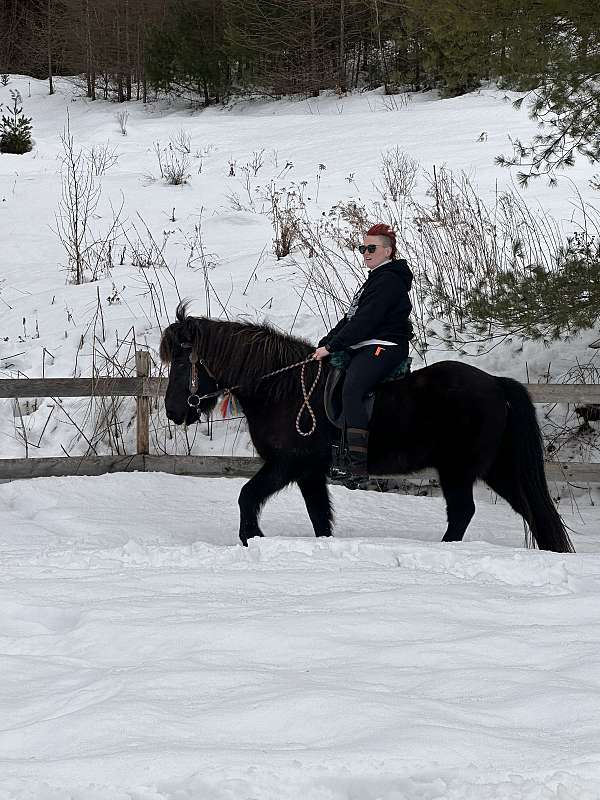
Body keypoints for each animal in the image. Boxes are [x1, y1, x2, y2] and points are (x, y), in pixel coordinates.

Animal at [159, 303, 574, 553]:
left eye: (180, 363)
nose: (173, 411)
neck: (284, 388)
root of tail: (496, 384)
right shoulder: (309, 472)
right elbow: (319, 516)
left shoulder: (288, 463)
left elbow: (247, 495)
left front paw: (252, 538)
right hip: (496, 468)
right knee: (531, 510)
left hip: (459, 469)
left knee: (463, 512)